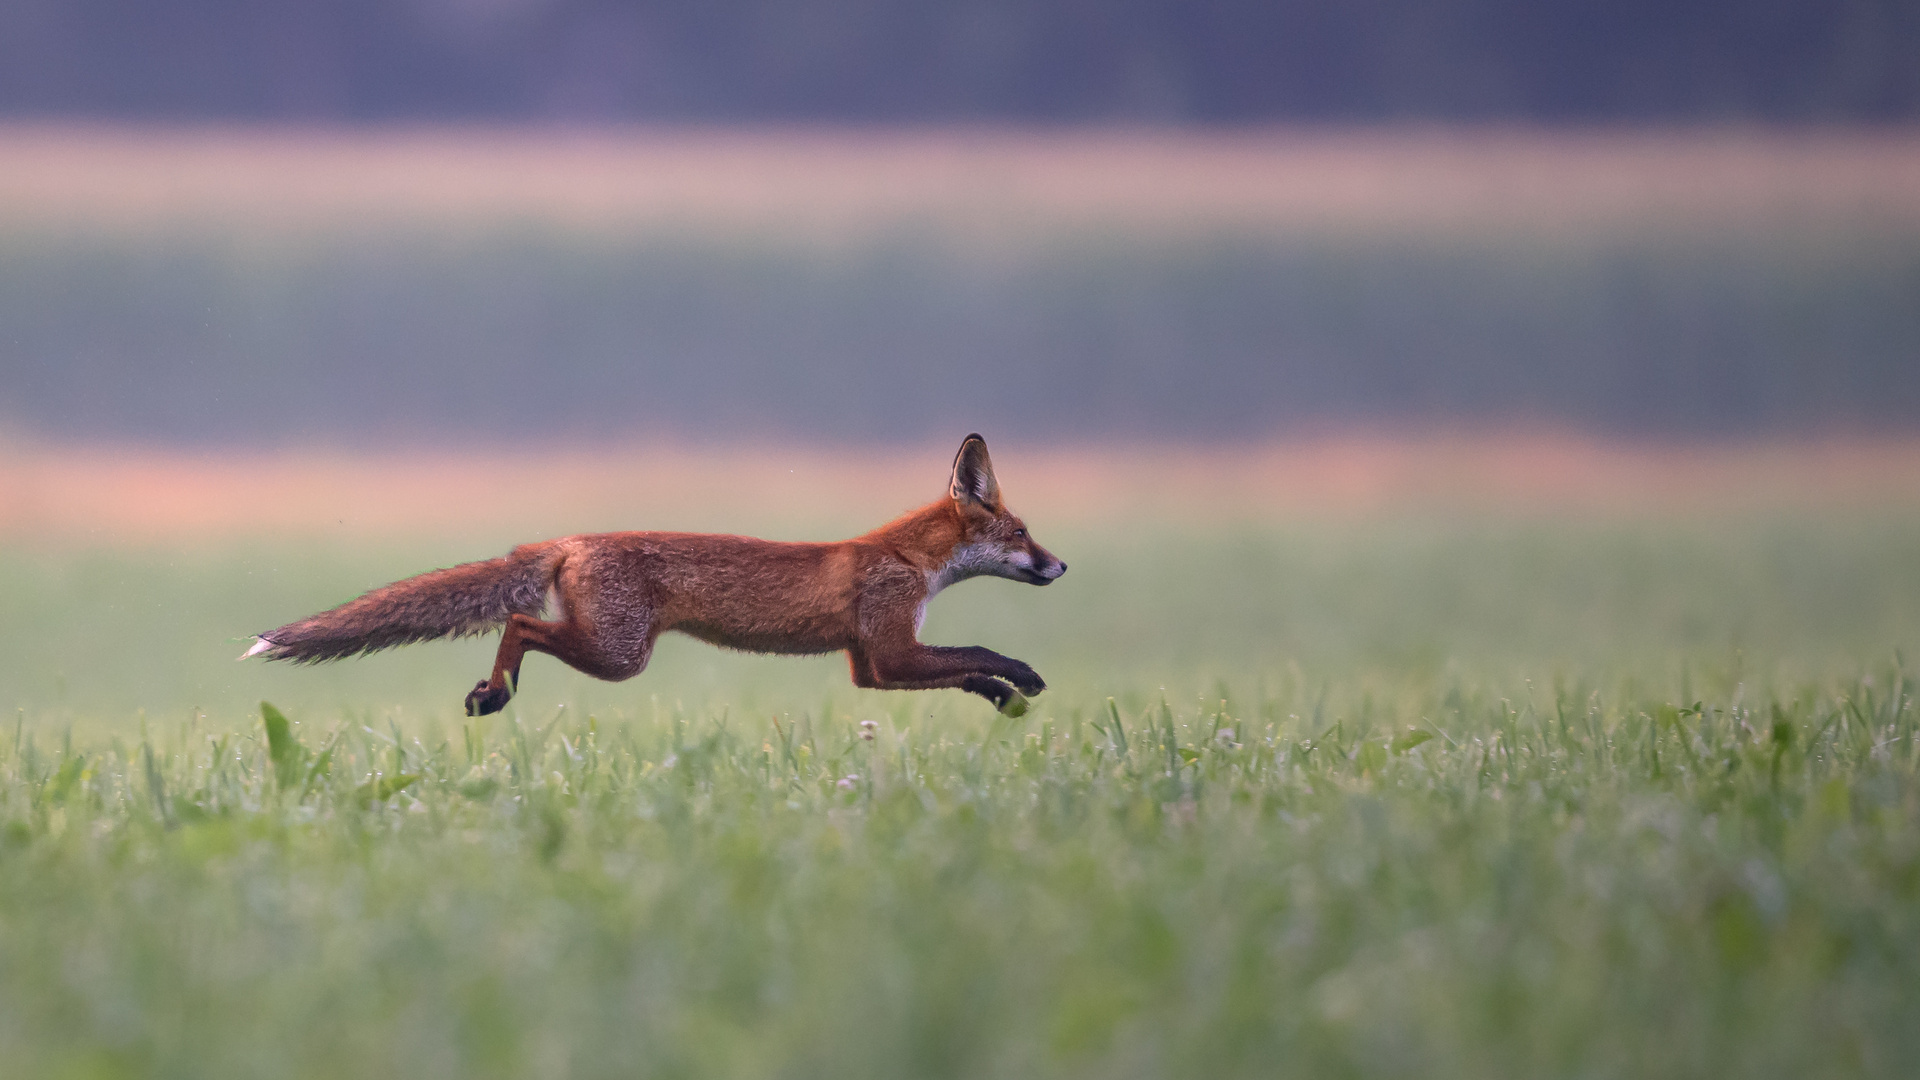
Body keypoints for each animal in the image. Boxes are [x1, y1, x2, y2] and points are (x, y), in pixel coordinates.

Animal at [243, 428, 1067, 714]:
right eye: (1023, 533)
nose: (1060, 565)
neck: (905, 559)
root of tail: (573, 538)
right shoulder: (892, 646)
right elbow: (978, 651)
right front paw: (1021, 676)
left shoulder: (872, 665)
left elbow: (961, 671)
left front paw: (1001, 697)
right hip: (621, 654)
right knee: (517, 622)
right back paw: (494, 693)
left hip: (614, 648)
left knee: (518, 621)